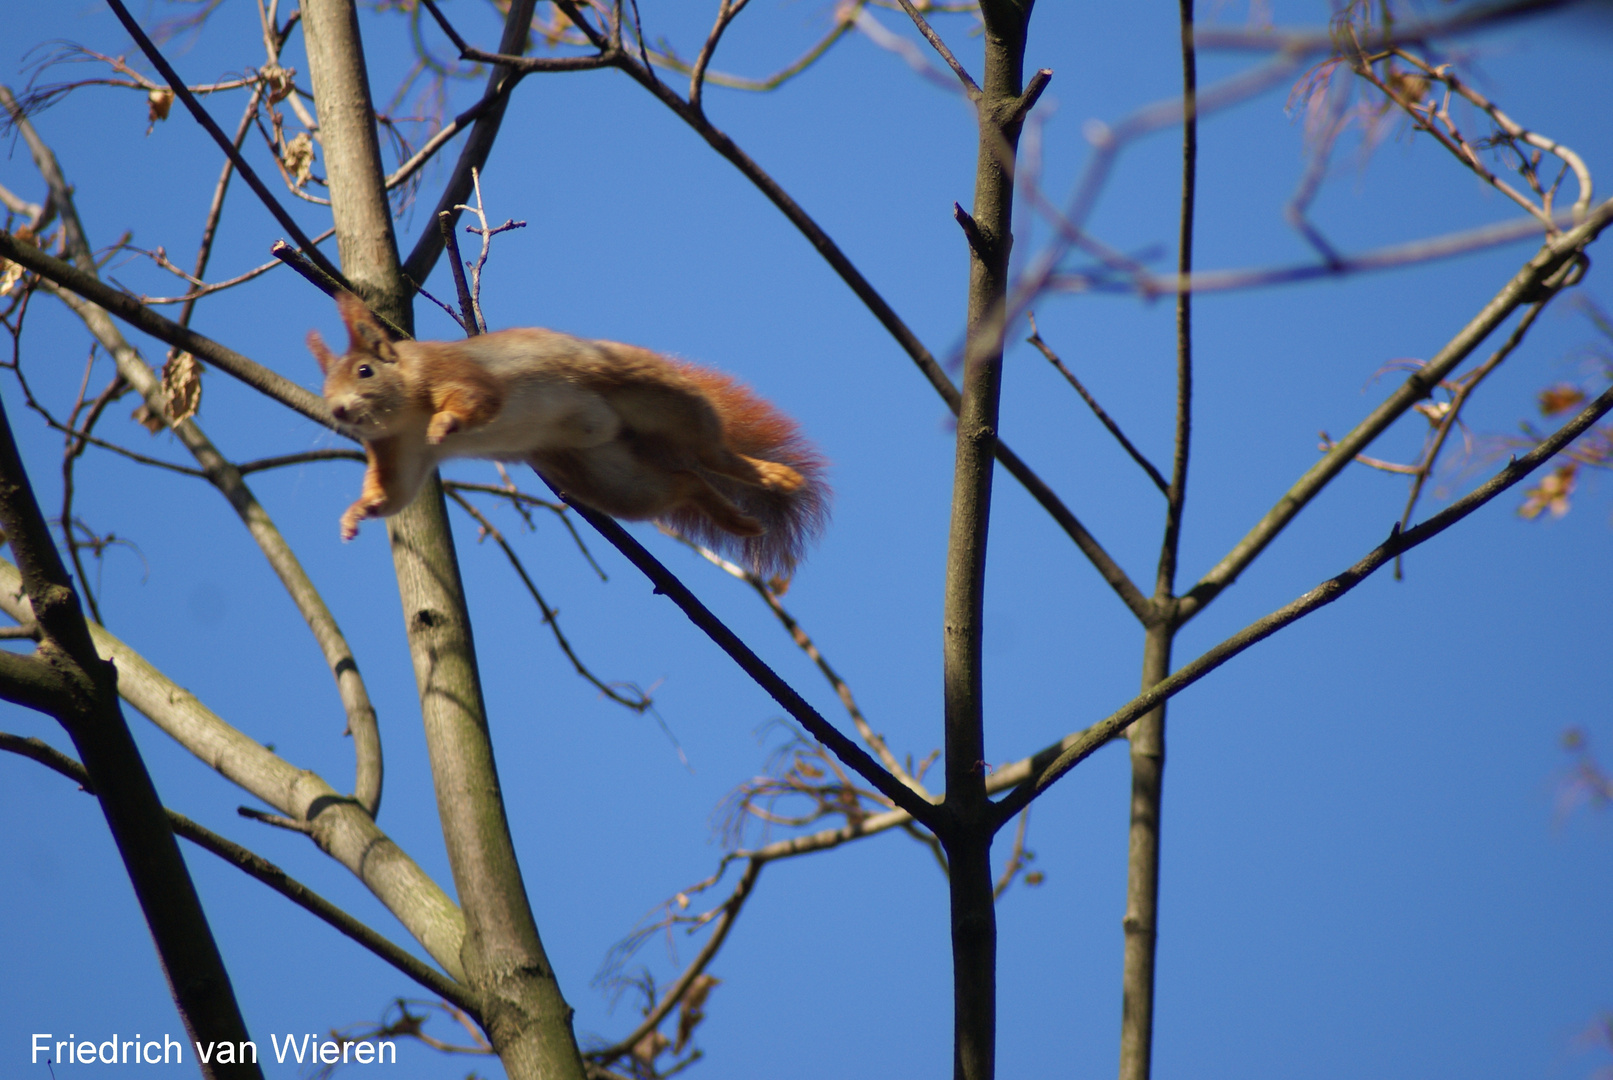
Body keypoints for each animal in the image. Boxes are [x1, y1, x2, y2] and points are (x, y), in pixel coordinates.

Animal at [309, 296, 832, 580]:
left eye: (365, 370)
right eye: (325, 385)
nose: (338, 411)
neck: (406, 414)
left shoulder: (457, 373)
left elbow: (478, 399)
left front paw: (446, 423)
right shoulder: (402, 453)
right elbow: (393, 493)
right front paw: (356, 514)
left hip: (659, 398)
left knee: (715, 455)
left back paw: (773, 476)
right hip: (614, 478)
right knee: (687, 482)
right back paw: (734, 519)